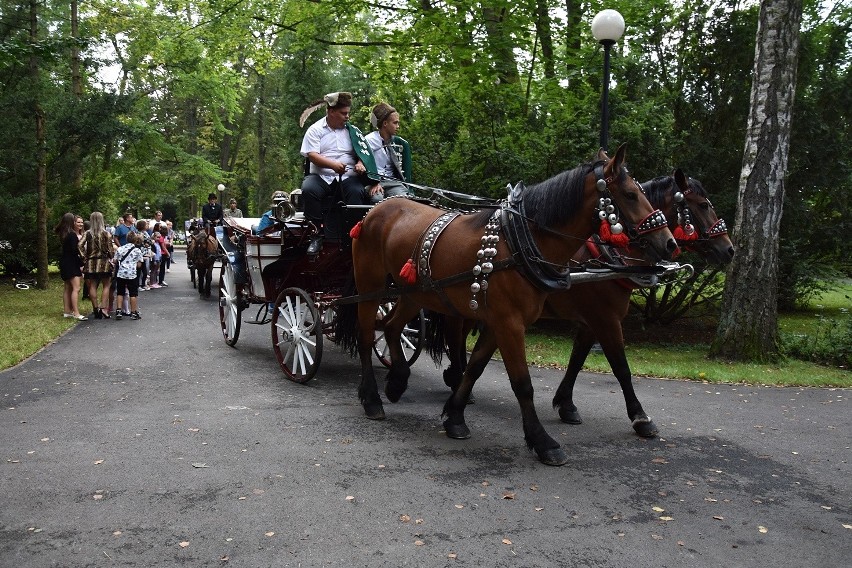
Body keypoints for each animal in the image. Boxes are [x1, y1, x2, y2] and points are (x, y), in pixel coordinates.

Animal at [440, 169, 732, 440]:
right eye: (703, 205)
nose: (729, 249)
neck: (609, 255)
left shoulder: (591, 321)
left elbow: (577, 361)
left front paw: (566, 404)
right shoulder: (605, 319)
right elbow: (621, 368)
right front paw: (640, 417)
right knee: (455, 340)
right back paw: (456, 380)